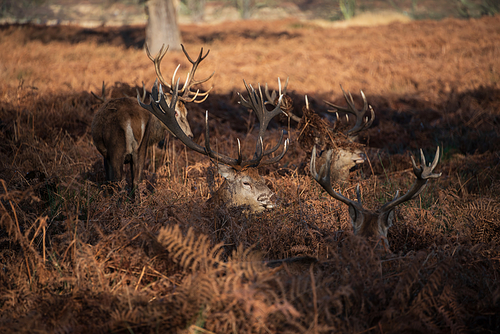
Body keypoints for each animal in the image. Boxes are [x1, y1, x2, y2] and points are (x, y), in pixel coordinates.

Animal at [91, 43, 212, 190]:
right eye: (176, 112)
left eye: (186, 112)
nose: (190, 135)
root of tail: (131, 120)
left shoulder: (107, 155)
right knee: (133, 181)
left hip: (119, 149)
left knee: (121, 181)